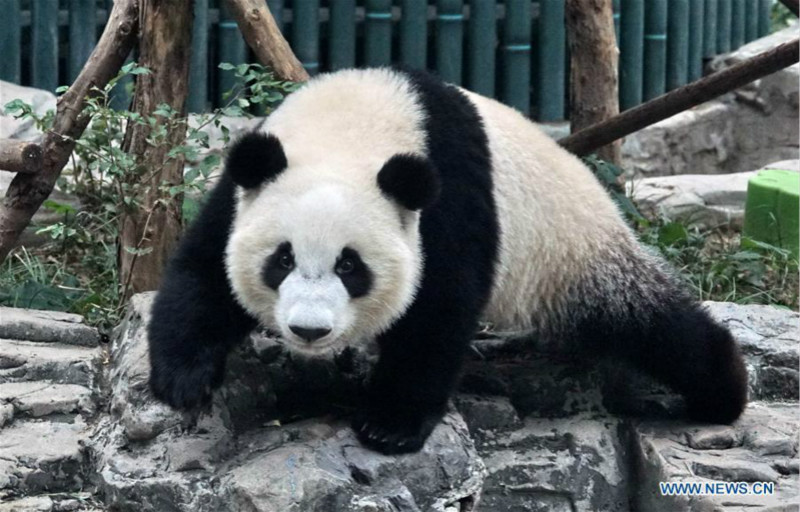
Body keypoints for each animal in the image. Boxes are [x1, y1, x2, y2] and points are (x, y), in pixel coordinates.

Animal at [148, 67, 748, 455]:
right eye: (281, 259)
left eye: (350, 266)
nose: (309, 331)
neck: (355, 122)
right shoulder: (247, 182)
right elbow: (204, 272)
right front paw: (182, 382)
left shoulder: (447, 192)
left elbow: (438, 307)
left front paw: (390, 425)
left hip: (572, 251)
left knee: (646, 320)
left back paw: (722, 390)